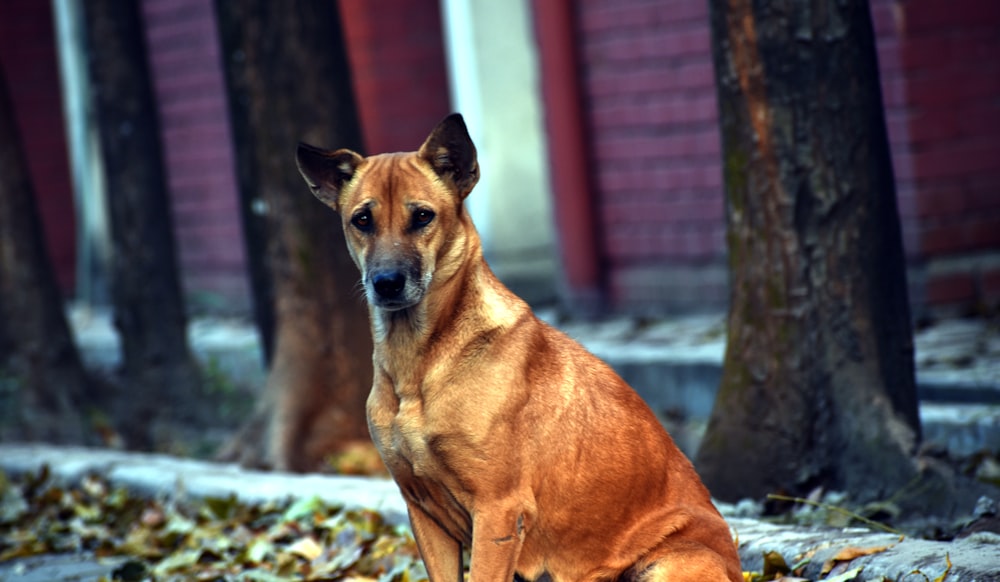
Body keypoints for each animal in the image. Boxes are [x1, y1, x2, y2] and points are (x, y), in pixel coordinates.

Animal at [296, 115, 744, 582]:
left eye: (422, 216)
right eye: (362, 219)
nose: (386, 283)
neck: (419, 361)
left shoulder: (498, 510)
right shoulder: (424, 510)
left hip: (667, 564)